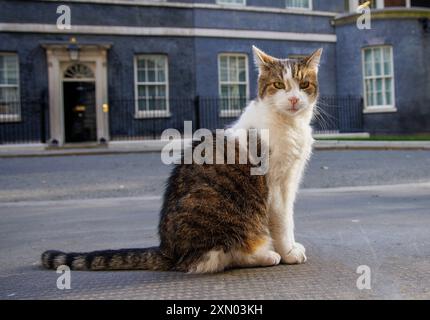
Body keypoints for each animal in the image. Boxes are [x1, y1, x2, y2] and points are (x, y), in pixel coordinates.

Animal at [41, 45, 322, 272]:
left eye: (303, 85)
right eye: (279, 85)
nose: (294, 99)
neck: (289, 124)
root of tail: (167, 250)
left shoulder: (291, 180)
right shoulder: (276, 184)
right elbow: (283, 220)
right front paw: (289, 251)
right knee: (218, 256)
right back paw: (265, 255)